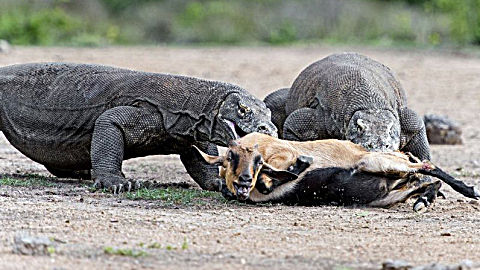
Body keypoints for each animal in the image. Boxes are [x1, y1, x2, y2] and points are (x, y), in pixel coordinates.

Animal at [195, 133, 480, 211]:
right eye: (230, 157)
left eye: (255, 160)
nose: (244, 182)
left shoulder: (280, 153)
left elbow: (275, 175)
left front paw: (301, 164)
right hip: (387, 191)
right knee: (422, 178)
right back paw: (424, 200)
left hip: (375, 161)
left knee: (427, 167)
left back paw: (468, 191)